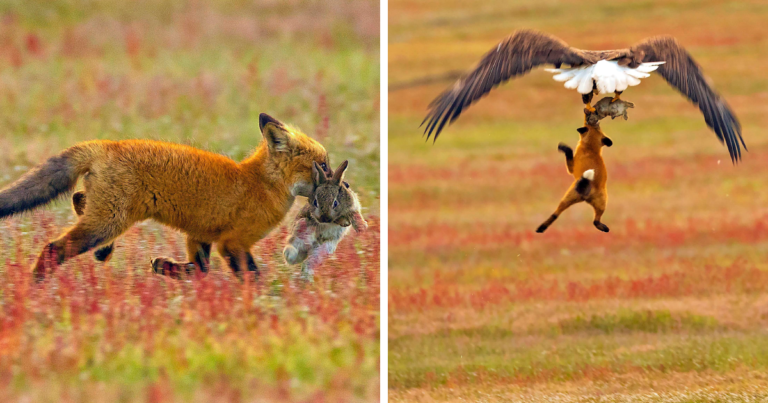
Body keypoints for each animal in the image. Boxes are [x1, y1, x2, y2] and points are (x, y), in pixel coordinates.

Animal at [0, 113, 328, 280]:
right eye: (322, 165)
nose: (337, 184)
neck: (260, 182)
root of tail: (107, 144)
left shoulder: (201, 235)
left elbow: (199, 270)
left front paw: (165, 268)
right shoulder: (232, 242)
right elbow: (251, 278)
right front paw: (267, 306)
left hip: (107, 214)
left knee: (79, 198)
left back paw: (104, 252)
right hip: (108, 222)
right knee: (53, 248)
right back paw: (37, 285)